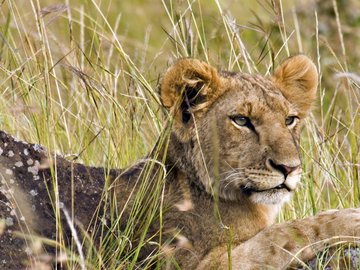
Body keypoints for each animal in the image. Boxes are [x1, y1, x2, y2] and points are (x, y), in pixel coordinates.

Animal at [0, 54, 358, 270]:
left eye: (289, 120)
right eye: (241, 120)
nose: (289, 168)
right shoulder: (192, 262)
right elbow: (286, 234)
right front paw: (350, 219)